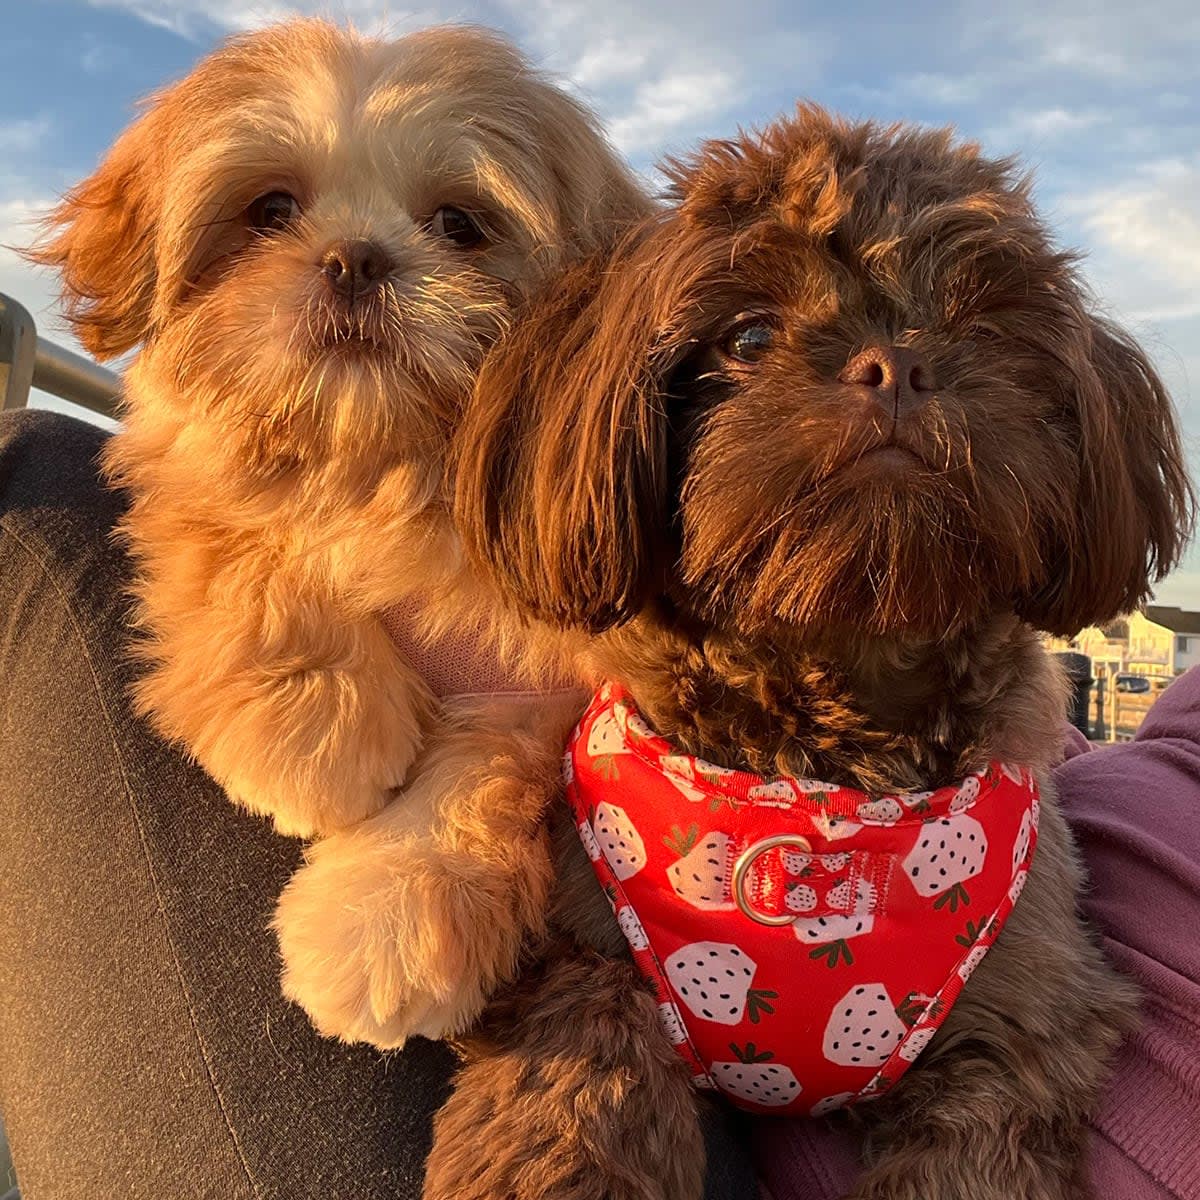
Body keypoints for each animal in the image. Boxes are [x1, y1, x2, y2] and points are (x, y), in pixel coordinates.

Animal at [30, 18, 648, 1046]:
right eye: (271, 208)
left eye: (460, 225)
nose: (355, 258)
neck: (377, 461)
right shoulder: (196, 474)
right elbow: (244, 545)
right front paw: (312, 733)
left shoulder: (542, 672)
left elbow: (482, 770)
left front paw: (386, 921)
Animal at [422, 108, 1190, 1195]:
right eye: (747, 336)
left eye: (983, 327)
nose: (897, 364)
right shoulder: (580, 947)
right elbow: (582, 1067)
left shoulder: (1020, 1026)